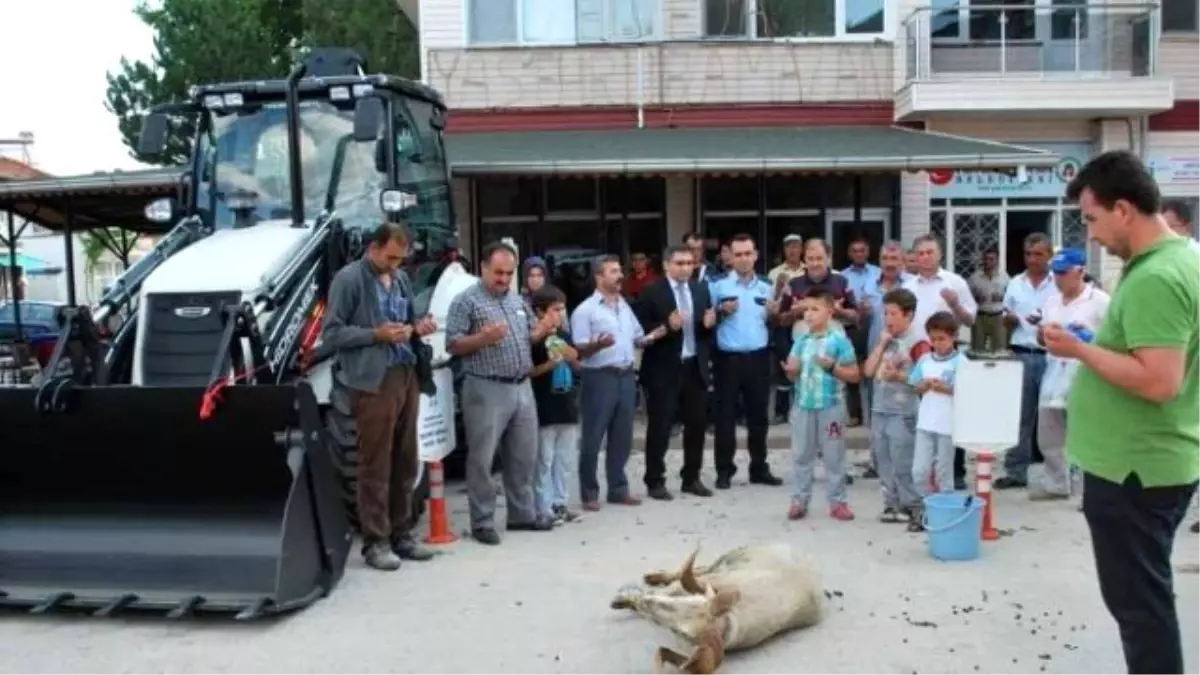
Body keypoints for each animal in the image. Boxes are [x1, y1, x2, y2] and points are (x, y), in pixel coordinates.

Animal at [609, 540, 825, 672]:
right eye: (686, 602)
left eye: (681, 633)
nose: (647, 604)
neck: (730, 620)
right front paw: (625, 598)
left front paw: (626, 599)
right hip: (728, 558)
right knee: (696, 569)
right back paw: (652, 577)